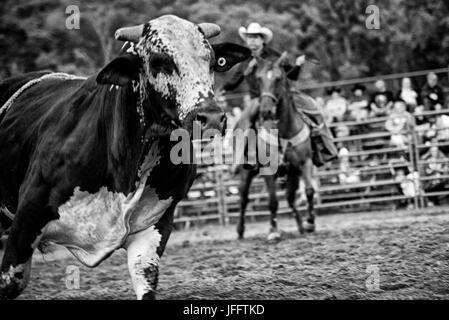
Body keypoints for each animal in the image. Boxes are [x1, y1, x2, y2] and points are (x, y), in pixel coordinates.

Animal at [0, 14, 250, 300]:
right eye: (159, 61)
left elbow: (145, 277)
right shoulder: (27, 218)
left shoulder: (154, 227)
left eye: (211, 61)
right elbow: (11, 281)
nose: (211, 117)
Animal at [234, 53, 316, 240]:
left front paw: (309, 223)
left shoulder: (304, 163)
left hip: (292, 173)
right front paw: (273, 231)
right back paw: (240, 230)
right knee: (243, 198)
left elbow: (309, 191)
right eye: (259, 78)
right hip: (245, 171)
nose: (266, 111)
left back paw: (300, 225)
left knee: (290, 197)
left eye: (279, 78)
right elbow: (273, 202)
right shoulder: (268, 169)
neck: (284, 131)